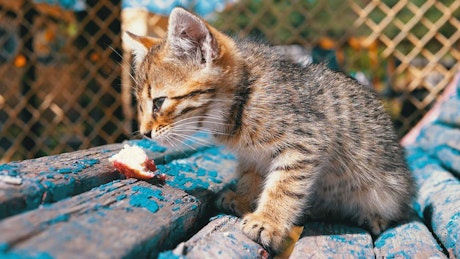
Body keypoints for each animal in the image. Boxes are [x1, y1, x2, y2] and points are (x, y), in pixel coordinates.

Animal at [125, 7, 416, 254]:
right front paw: (244, 197)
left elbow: (284, 185)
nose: (144, 132)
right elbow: (252, 174)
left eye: (159, 102)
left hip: (387, 190)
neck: (242, 101)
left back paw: (374, 216)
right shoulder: (252, 155)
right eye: (139, 104)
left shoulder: (307, 140)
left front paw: (268, 220)